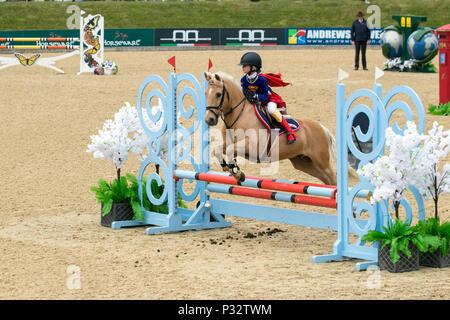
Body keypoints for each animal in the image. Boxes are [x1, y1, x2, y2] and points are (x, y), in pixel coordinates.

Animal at [204, 70, 338, 185]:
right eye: (205, 94)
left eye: (218, 94)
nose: (209, 120)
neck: (239, 115)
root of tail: (321, 127)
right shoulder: (229, 143)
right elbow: (217, 150)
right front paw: (231, 169)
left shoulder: (253, 146)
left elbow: (230, 150)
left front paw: (237, 172)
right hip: (304, 162)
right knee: (328, 180)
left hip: (321, 161)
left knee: (333, 178)